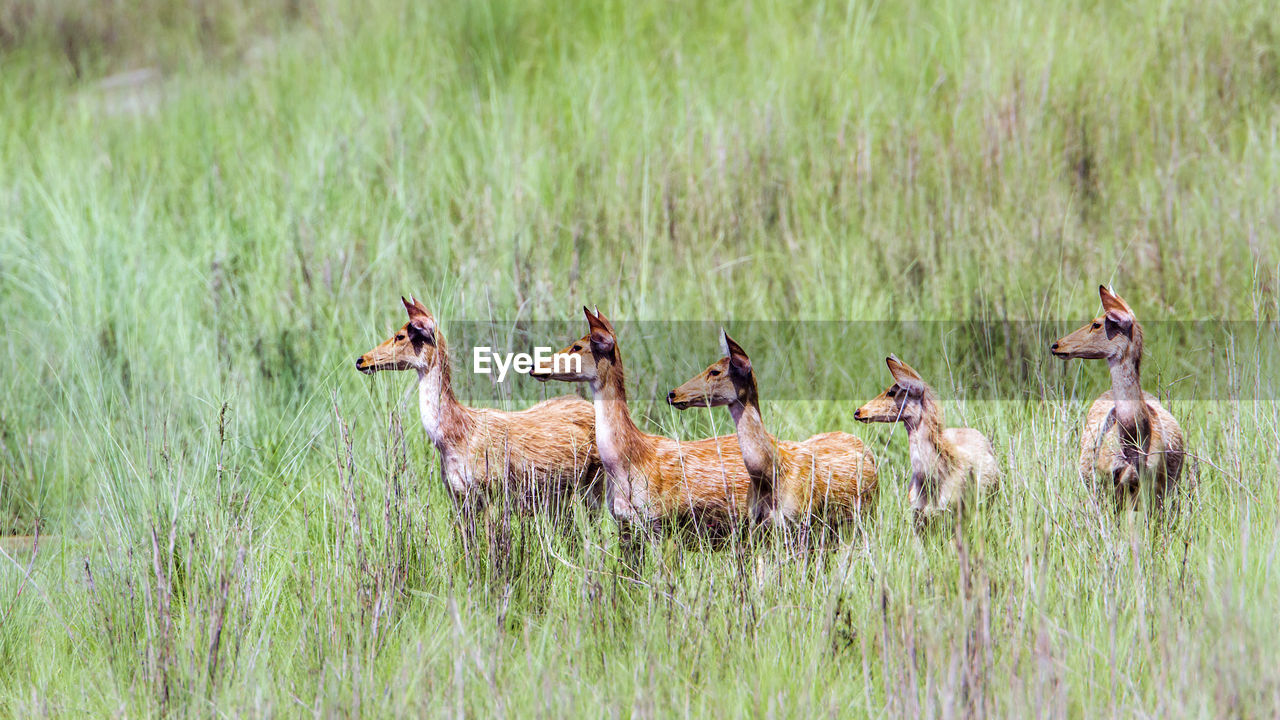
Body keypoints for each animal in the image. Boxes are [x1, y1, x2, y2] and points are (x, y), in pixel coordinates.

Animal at [358, 295, 601, 509]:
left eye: (400, 336)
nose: (361, 360)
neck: (454, 437)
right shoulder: (458, 495)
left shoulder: (491, 488)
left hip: (595, 478)